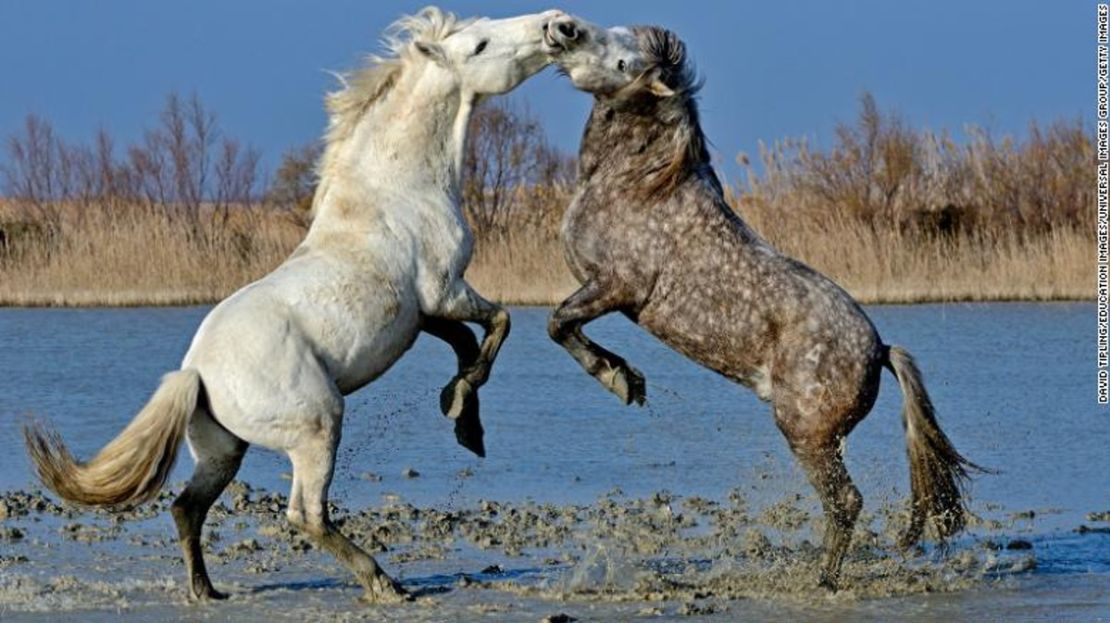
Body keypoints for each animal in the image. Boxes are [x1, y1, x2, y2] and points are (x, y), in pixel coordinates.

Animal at [24, 6, 577, 604]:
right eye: (479, 45)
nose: (556, 24)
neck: (396, 191)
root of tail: (195, 372)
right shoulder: (445, 290)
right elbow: (498, 324)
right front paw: (461, 411)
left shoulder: (424, 313)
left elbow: (466, 343)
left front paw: (462, 419)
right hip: (318, 426)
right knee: (305, 514)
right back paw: (383, 583)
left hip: (222, 450)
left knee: (187, 507)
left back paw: (206, 591)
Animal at [546, 17, 981, 586]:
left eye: (623, 60)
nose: (562, 28)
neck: (638, 184)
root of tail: (879, 349)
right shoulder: (601, 290)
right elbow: (564, 325)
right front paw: (625, 378)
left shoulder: (616, 286)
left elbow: (559, 324)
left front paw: (618, 379)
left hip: (806, 433)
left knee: (845, 501)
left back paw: (824, 580)